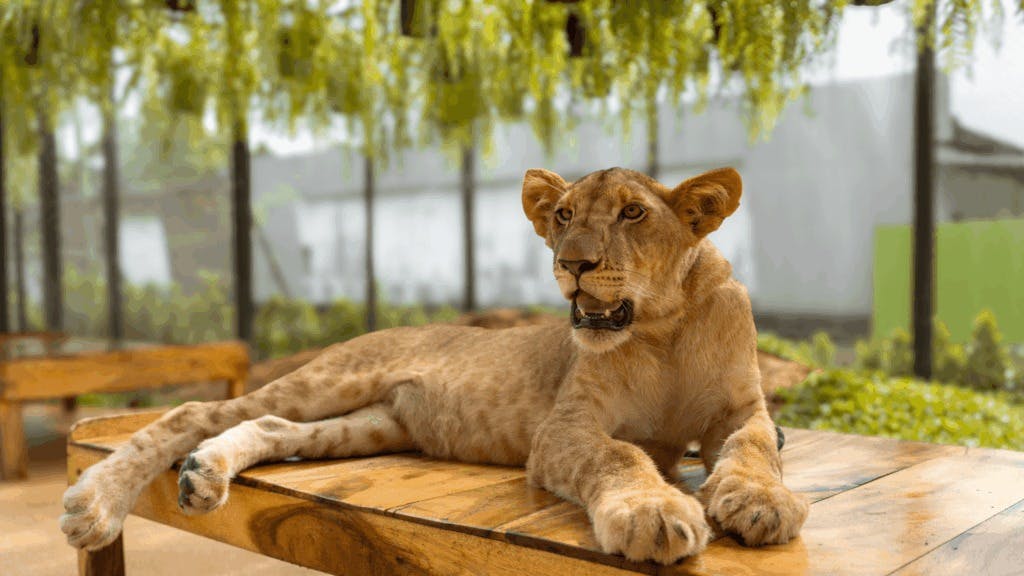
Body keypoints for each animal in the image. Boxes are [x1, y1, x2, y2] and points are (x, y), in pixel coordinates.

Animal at [61, 167, 807, 564]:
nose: (574, 263)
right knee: (196, 410)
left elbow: (753, 448)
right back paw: (94, 504)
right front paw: (654, 513)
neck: (661, 329)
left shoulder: (743, 410)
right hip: (330, 379)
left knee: (271, 427)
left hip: (369, 424)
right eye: (563, 215)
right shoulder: (564, 430)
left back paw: (203, 475)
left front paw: (761, 503)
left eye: (632, 213)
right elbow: (620, 456)